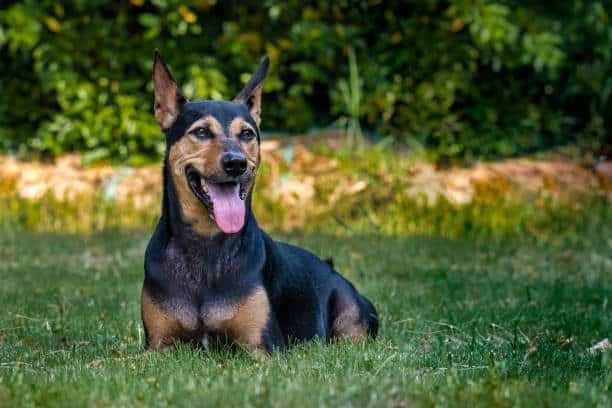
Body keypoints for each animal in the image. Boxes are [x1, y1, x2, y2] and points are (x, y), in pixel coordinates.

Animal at [141, 51, 378, 356]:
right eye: (201, 132)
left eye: (247, 134)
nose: (236, 163)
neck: (206, 244)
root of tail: (332, 269)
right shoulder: (157, 347)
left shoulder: (263, 346)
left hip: (353, 316)